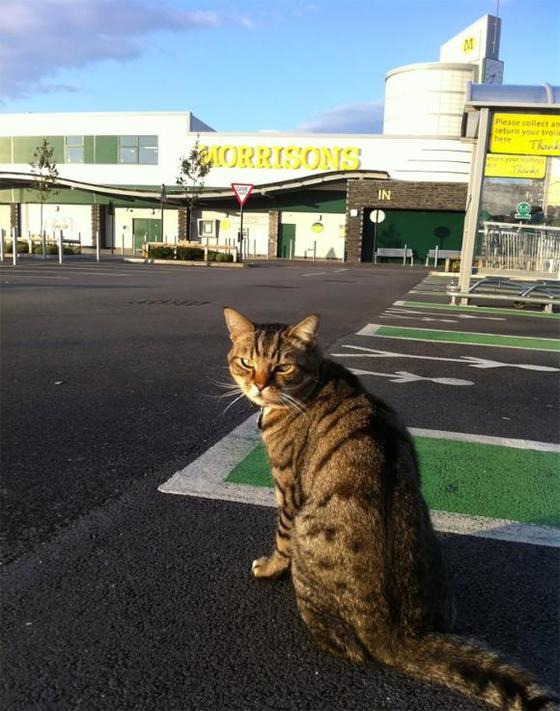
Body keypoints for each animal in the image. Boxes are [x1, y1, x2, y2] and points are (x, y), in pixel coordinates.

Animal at [223, 308, 556, 711]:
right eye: (246, 362)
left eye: (283, 367)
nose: (258, 386)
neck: (315, 382)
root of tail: (400, 634)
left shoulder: (287, 490)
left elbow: (280, 541)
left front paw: (270, 568)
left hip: (308, 533)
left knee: (346, 647)